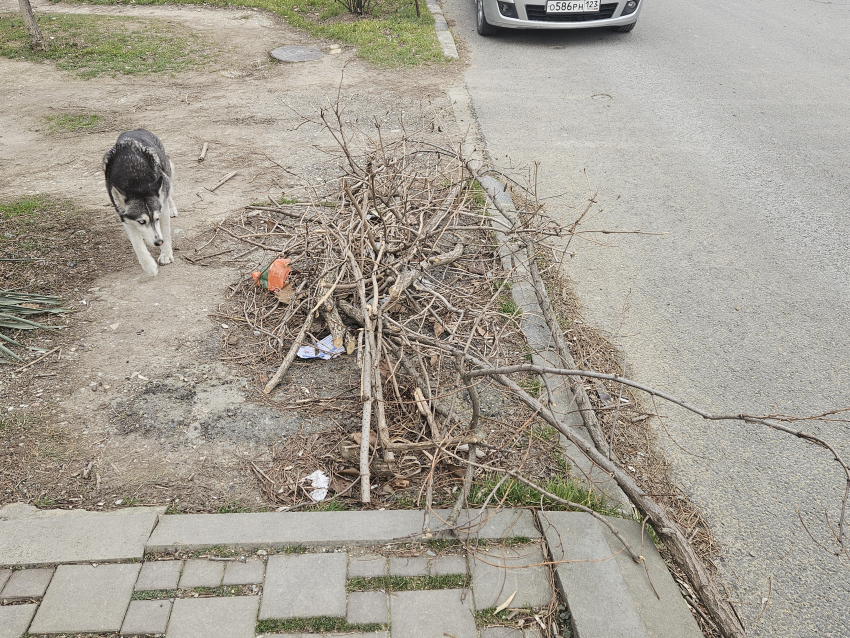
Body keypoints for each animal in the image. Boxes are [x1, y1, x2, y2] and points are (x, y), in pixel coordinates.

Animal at [102, 130, 176, 278]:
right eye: (141, 221)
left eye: (157, 218)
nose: (158, 242)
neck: (136, 182)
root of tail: (136, 129)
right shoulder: (125, 217)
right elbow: (137, 244)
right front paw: (149, 266)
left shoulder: (161, 209)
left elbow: (165, 232)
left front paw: (166, 254)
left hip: (166, 175)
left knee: (168, 191)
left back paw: (172, 208)